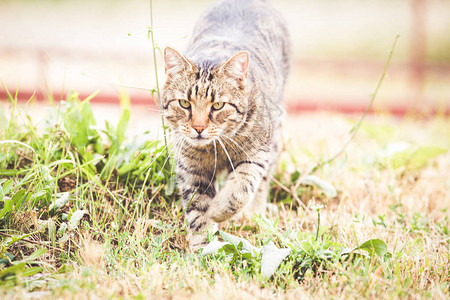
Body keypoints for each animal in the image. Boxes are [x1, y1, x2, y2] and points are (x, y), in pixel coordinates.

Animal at [160, 0, 290, 250]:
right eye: (184, 103)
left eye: (218, 105)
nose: (198, 128)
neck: (216, 148)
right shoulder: (190, 167)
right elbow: (197, 208)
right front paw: (202, 247)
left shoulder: (256, 155)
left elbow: (241, 189)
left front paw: (218, 211)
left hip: (275, 134)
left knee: (261, 183)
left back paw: (253, 214)